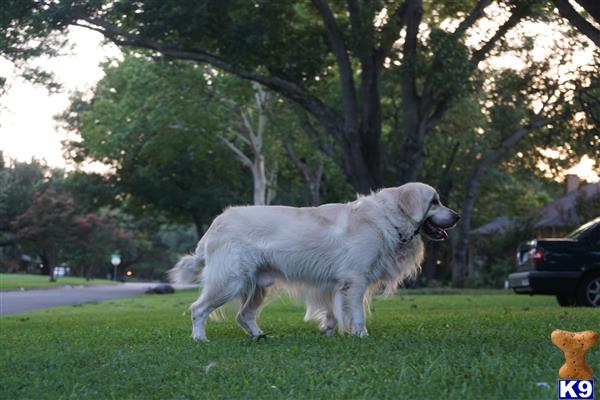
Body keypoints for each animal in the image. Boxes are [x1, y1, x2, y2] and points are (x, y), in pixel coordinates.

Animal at [169, 182, 460, 340]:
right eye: (434, 202)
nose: (456, 216)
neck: (387, 218)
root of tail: (215, 225)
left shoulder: (334, 285)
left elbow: (332, 312)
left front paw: (328, 331)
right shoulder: (355, 280)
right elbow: (356, 314)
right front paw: (361, 335)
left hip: (259, 286)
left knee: (244, 315)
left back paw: (260, 336)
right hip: (230, 281)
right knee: (197, 309)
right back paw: (199, 338)